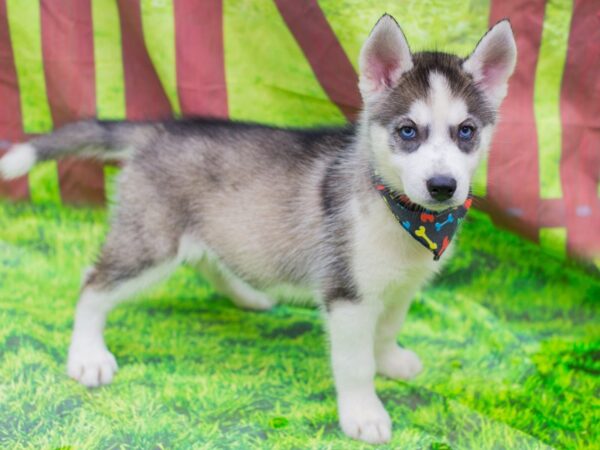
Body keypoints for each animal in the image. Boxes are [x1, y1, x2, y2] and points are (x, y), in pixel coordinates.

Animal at [0, 14, 516, 442]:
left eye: (466, 132)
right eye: (408, 131)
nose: (443, 186)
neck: (406, 218)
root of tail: (157, 129)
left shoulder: (401, 285)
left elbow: (388, 328)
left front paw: (391, 360)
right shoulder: (346, 294)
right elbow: (354, 364)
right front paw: (364, 413)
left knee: (205, 260)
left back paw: (247, 295)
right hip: (151, 241)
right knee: (93, 283)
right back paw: (87, 355)